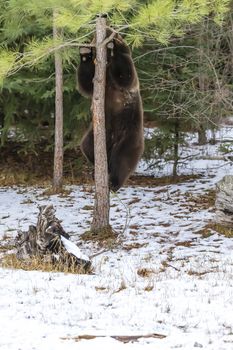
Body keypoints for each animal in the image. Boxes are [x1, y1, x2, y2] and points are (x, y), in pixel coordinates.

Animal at [77, 28, 144, 191]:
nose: (107, 28)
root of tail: (113, 142)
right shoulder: (100, 81)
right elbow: (86, 84)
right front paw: (85, 51)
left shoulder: (125, 79)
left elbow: (125, 74)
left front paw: (114, 45)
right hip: (98, 134)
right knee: (88, 146)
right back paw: (98, 170)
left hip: (129, 136)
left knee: (122, 160)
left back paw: (113, 182)